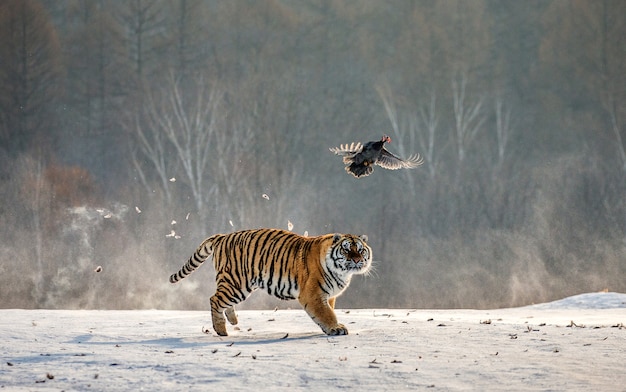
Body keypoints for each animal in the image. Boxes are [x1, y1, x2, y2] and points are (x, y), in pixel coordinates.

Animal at [168, 228, 368, 336]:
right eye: (346, 250)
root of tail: (222, 236)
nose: (357, 260)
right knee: (214, 299)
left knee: (221, 300)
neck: (342, 273)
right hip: (237, 283)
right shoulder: (313, 295)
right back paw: (221, 330)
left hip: (235, 285)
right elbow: (327, 314)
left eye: (360, 250)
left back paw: (233, 321)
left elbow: (329, 311)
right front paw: (336, 328)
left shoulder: (329, 296)